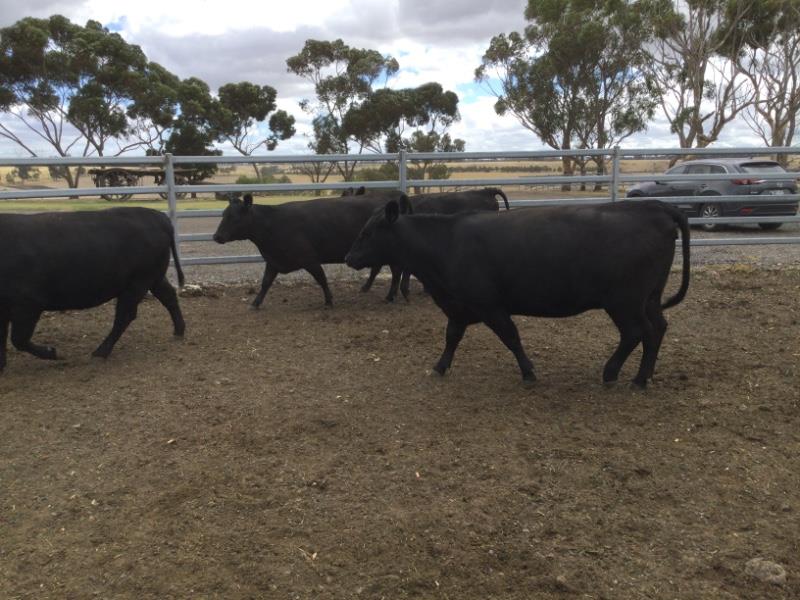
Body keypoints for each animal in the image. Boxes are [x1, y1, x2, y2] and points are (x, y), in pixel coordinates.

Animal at [0, 208, 185, 372]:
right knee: (168, 297)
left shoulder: (28, 303)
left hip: (138, 282)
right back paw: (179, 331)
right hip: (154, 278)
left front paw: (52, 352)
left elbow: (18, 339)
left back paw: (100, 352)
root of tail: (157, 216)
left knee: (125, 316)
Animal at [212, 191, 407, 308]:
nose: (216, 236)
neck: (272, 223)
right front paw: (255, 303)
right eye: (223, 214)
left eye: (235, 217)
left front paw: (329, 300)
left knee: (396, 271)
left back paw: (391, 295)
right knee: (382, 269)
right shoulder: (273, 260)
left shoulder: (309, 259)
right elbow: (265, 282)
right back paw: (375, 289)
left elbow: (321, 279)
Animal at [345, 199, 690, 387]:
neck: (446, 243)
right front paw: (440, 366)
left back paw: (612, 372)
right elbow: (452, 336)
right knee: (657, 329)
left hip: (625, 301)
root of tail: (655, 207)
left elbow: (511, 337)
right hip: (649, 298)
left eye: (367, 232)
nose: (349, 258)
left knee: (635, 332)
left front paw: (528, 371)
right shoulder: (459, 306)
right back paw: (642, 378)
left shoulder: (490, 306)